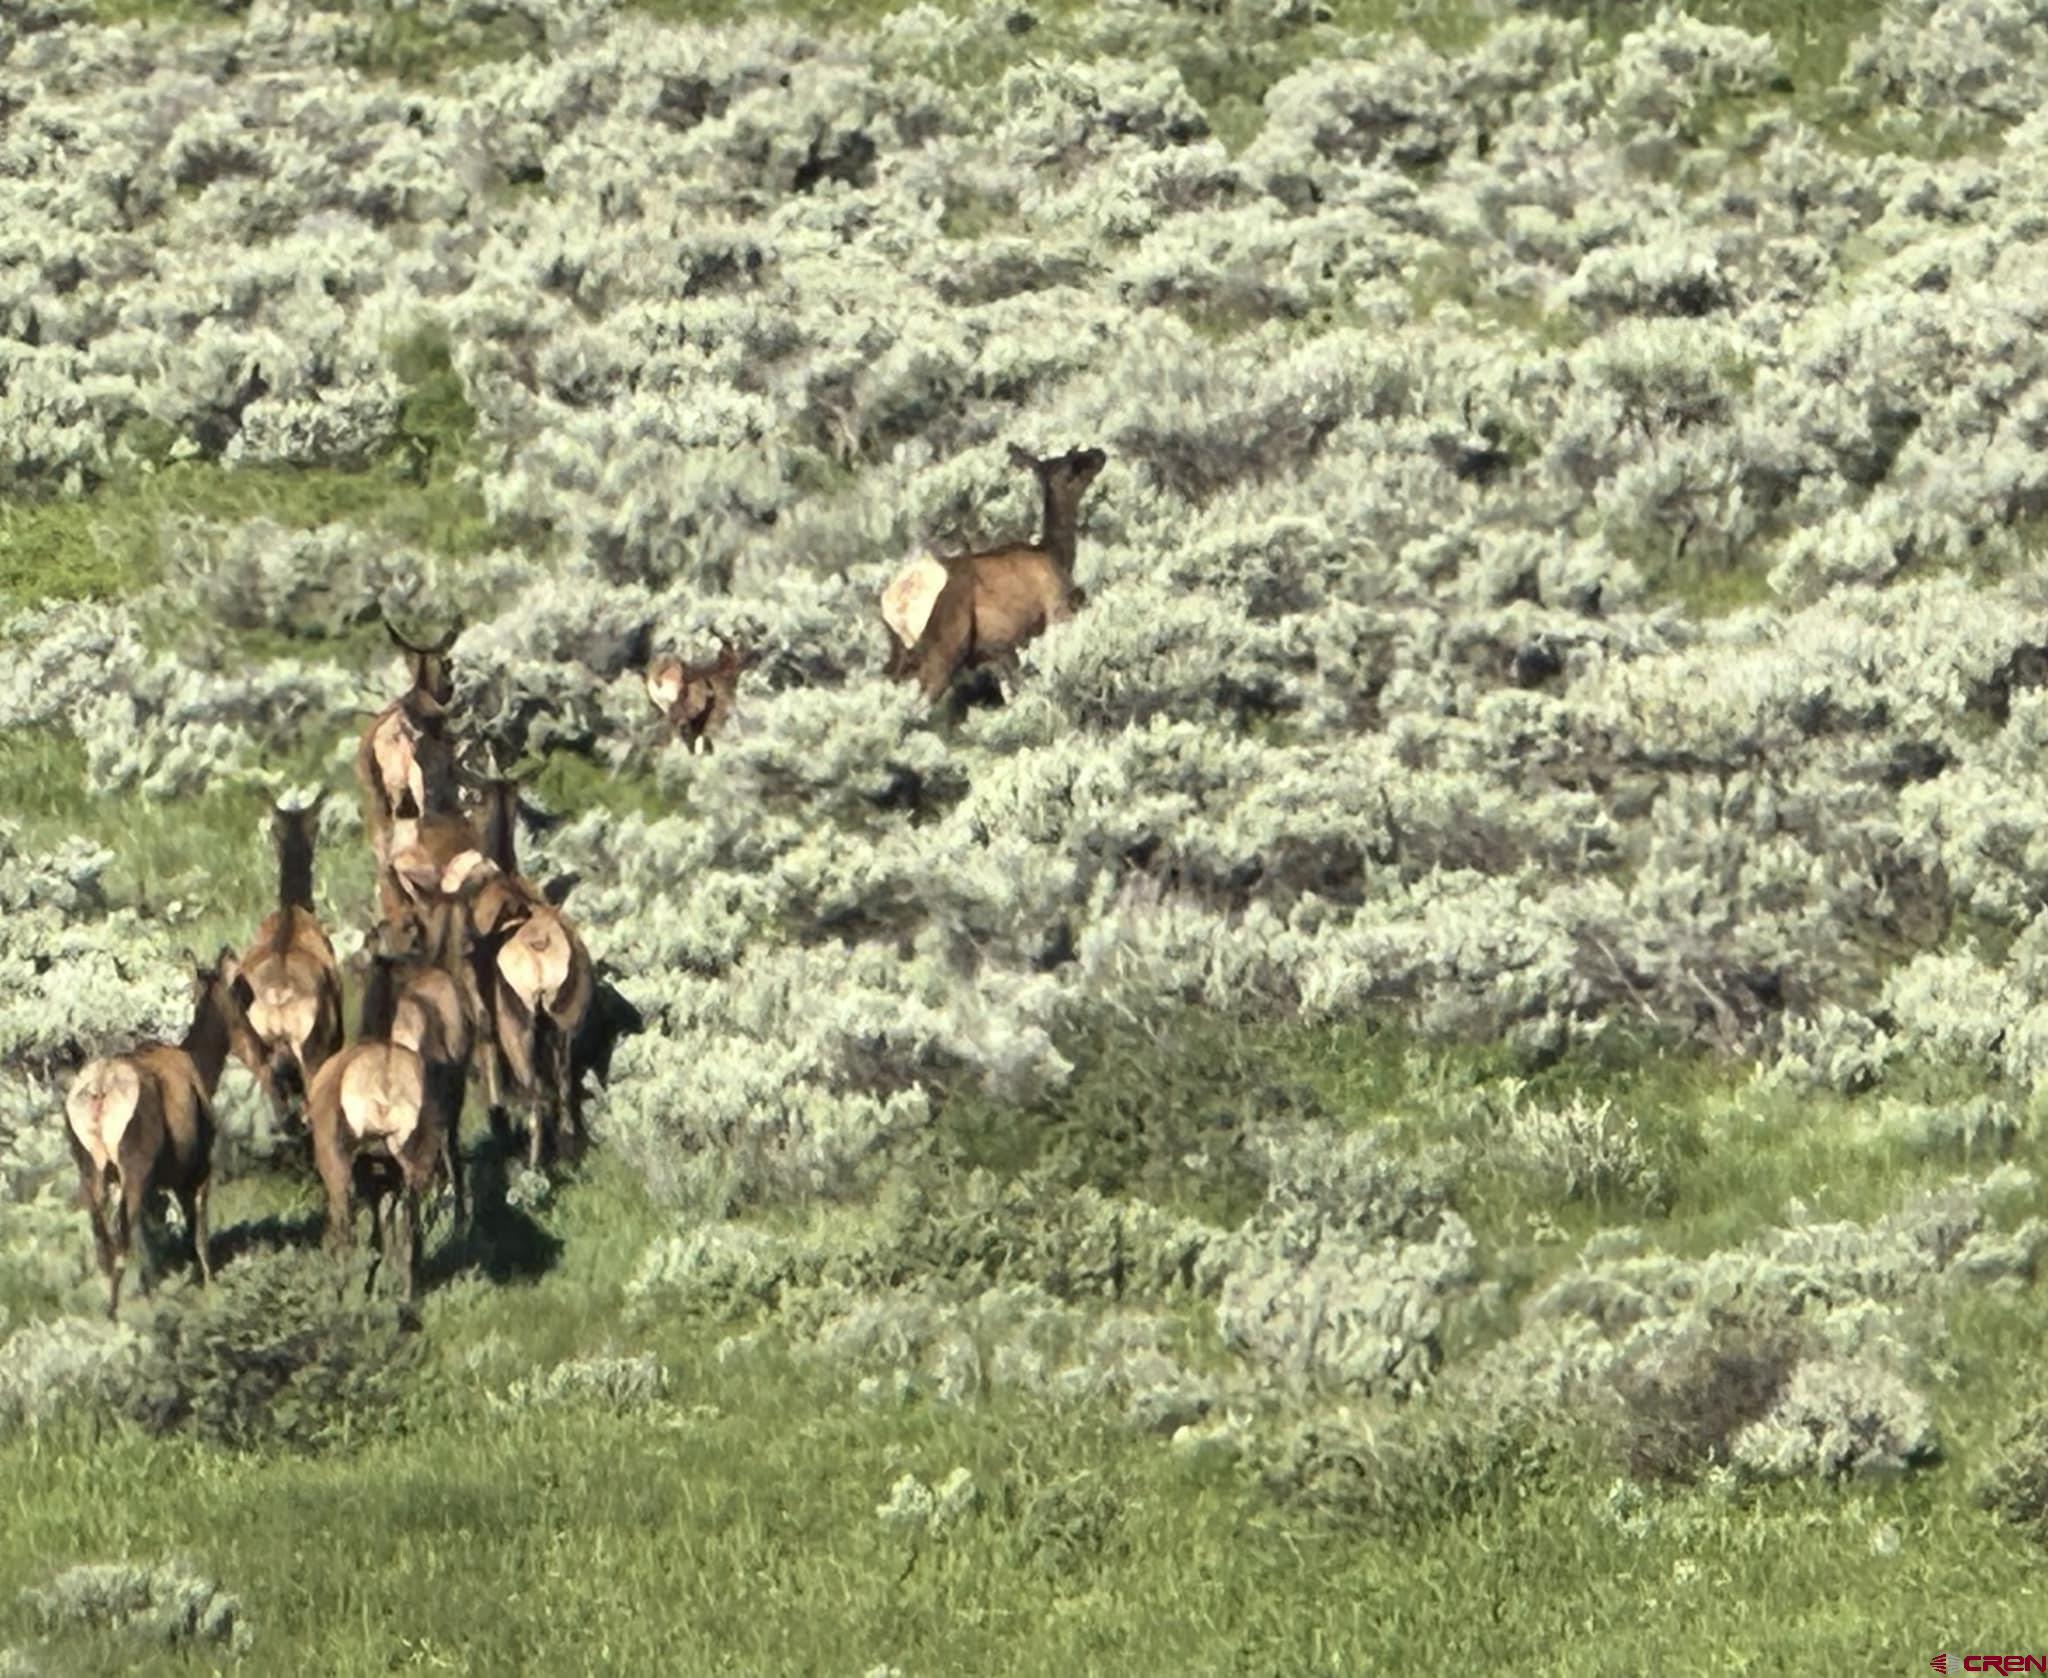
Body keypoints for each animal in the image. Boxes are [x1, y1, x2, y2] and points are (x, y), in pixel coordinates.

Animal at [66, 950, 264, 1319]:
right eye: (242, 995)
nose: (259, 1048)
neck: (201, 1065)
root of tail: (100, 1091)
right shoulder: (195, 1170)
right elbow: (197, 1233)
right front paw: (210, 1285)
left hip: (92, 1171)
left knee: (103, 1241)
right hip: (133, 1171)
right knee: (121, 1241)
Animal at [303, 946, 456, 1303]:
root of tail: (384, 1081)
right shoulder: (385, 1180)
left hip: (340, 1168)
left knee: (343, 1233)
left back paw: (339, 1294)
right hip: (413, 1169)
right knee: (410, 1233)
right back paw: (405, 1297)